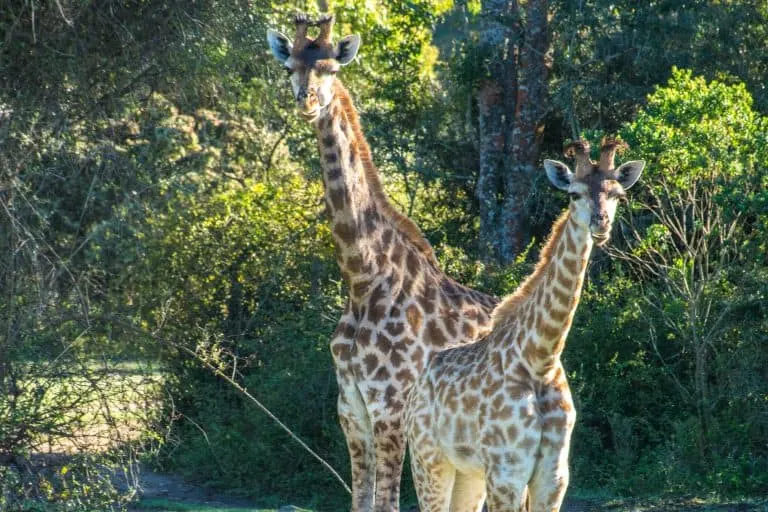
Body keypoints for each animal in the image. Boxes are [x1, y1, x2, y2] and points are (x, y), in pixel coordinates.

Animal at [268, 14, 500, 510]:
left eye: (332, 68)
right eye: (290, 67)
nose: (307, 102)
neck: (362, 278)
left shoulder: (390, 406)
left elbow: (385, 503)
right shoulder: (350, 409)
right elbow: (360, 501)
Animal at [404, 138, 644, 510]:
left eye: (617, 194)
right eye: (574, 194)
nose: (600, 223)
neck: (540, 357)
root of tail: (418, 385)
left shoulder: (554, 475)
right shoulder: (508, 471)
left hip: (469, 474)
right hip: (428, 459)